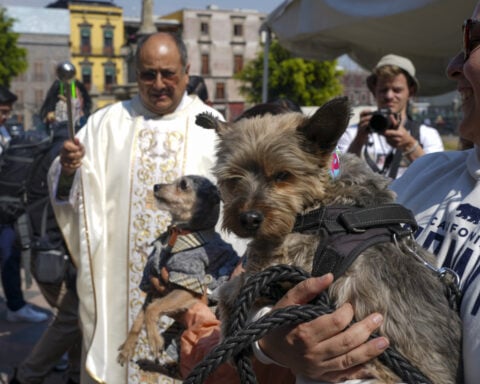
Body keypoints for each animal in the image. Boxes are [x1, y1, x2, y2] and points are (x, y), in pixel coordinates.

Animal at [115, 176, 237, 364]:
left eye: (184, 185)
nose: (156, 186)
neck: (178, 234)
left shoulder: (187, 285)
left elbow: (152, 310)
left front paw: (154, 340)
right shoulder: (152, 288)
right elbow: (138, 320)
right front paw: (127, 348)